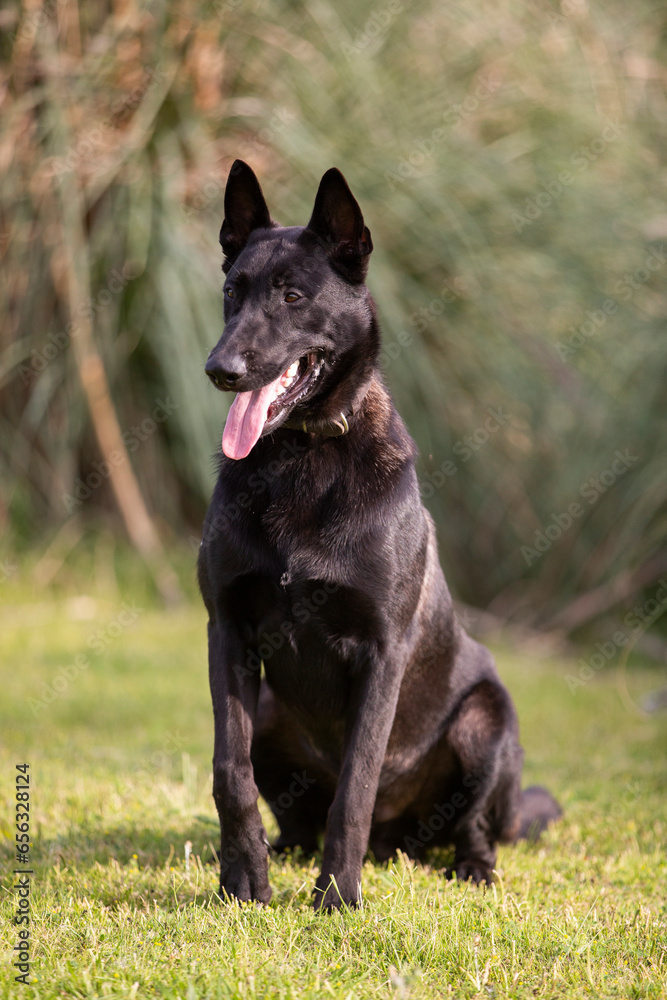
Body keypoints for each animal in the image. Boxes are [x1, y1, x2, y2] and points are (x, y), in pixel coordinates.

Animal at [197, 160, 560, 912]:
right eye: (231, 291)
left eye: (292, 296)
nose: (220, 369)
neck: (301, 458)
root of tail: (401, 843)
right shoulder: (228, 632)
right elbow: (229, 771)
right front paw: (243, 881)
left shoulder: (380, 653)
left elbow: (355, 788)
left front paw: (336, 895)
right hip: (270, 706)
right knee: (294, 812)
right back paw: (285, 851)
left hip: (485, 722)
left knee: (472, 826)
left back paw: (471, 869)